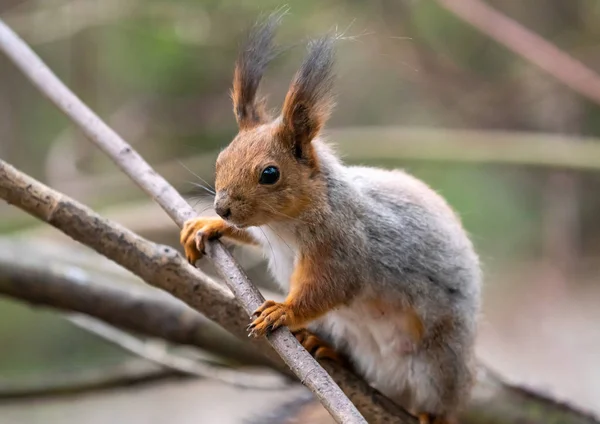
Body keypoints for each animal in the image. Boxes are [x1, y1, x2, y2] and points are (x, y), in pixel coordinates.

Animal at [179, 12, 482, 424]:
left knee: (439, 398)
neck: (284, 225)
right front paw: (206, 225)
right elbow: (249, 234)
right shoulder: (265, 232)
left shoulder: (345, 245)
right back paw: (322, 345)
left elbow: (332, 287)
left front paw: (284, 310)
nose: (222, 207)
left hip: (438, 364)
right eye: (220, 159)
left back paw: (430, 415)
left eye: (270, 173)